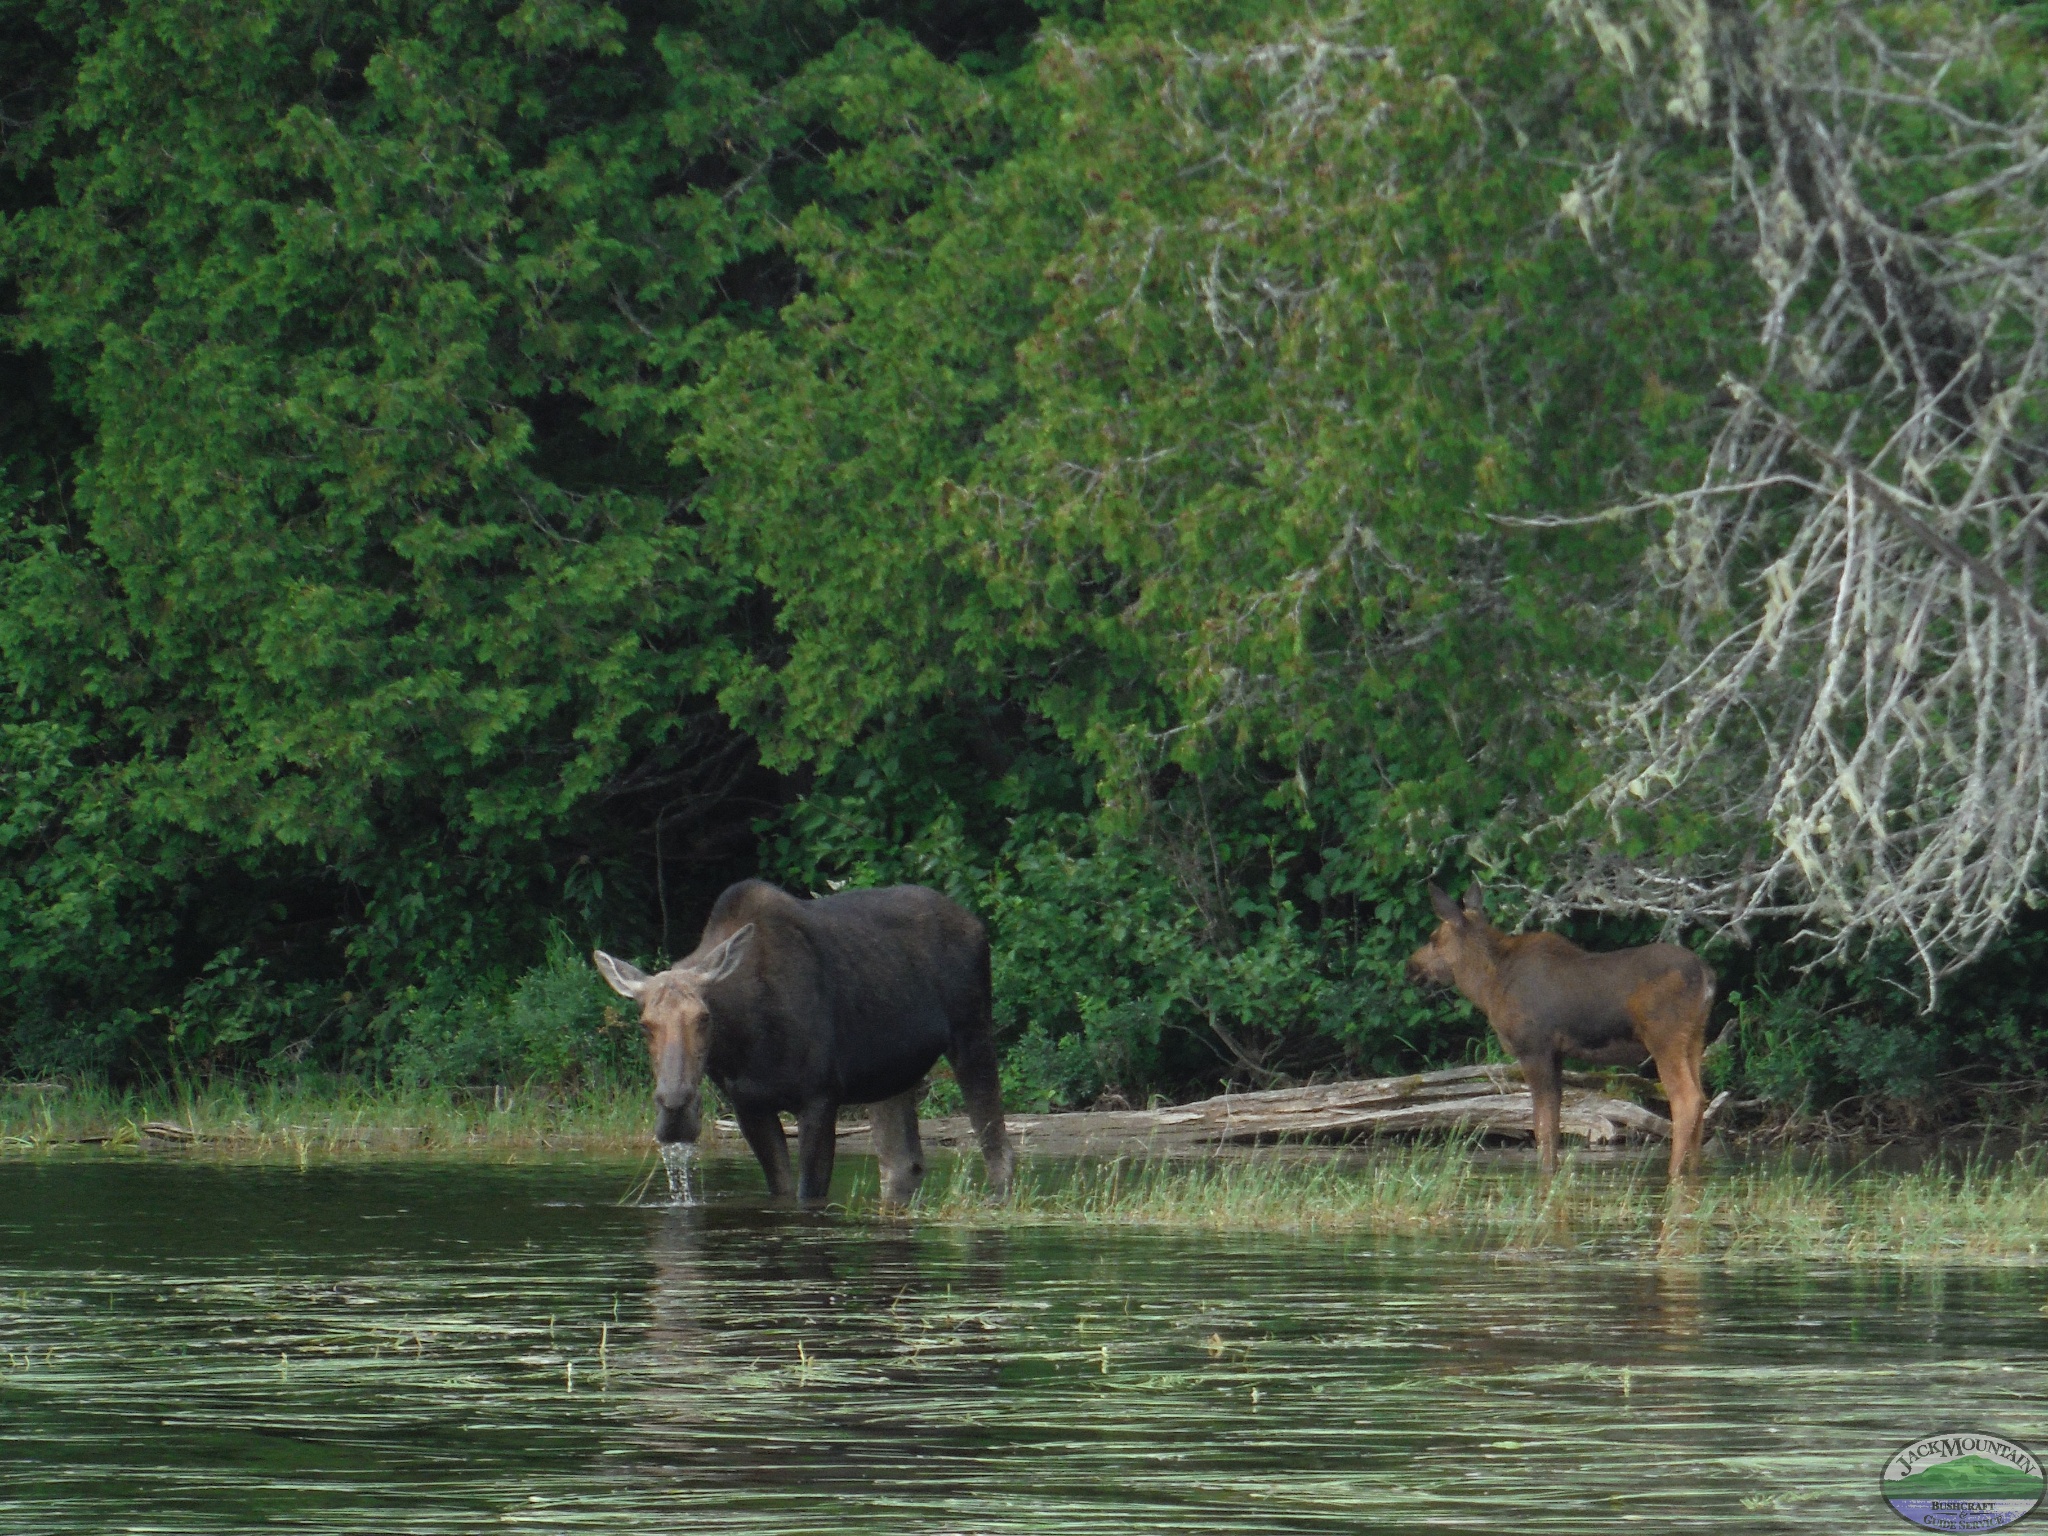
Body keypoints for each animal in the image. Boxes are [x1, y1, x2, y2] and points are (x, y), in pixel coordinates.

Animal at [1406, 881, 1715, 1179]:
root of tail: (1706, 975)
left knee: (1686, 1099)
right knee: (1702, 1098)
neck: (1486, 987)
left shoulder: (1533, 1048)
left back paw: (1673, 1172)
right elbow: (1553, 1123)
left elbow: (1541, 1126)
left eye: (1433, 939)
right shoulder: (1556, 1053)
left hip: (1664, 1036)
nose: (1411, 968)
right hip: (1695, 1038)